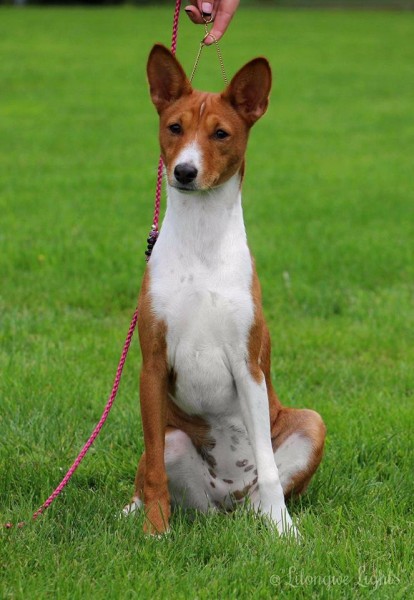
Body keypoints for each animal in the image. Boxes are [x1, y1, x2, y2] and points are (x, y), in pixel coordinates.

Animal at [124, 44, 326, 537]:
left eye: (221, 133)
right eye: (174, 127)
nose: (184, 171)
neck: (201, 242)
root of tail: (224, 503)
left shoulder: (246, 364)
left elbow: (269, 468)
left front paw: (285, 533)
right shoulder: (152, 364)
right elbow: (153, 468)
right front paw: (155, 531)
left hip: (311, 423)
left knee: (261, 486)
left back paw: (268, 518)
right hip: (175, 437)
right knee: (150, 467)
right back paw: (137, 511)